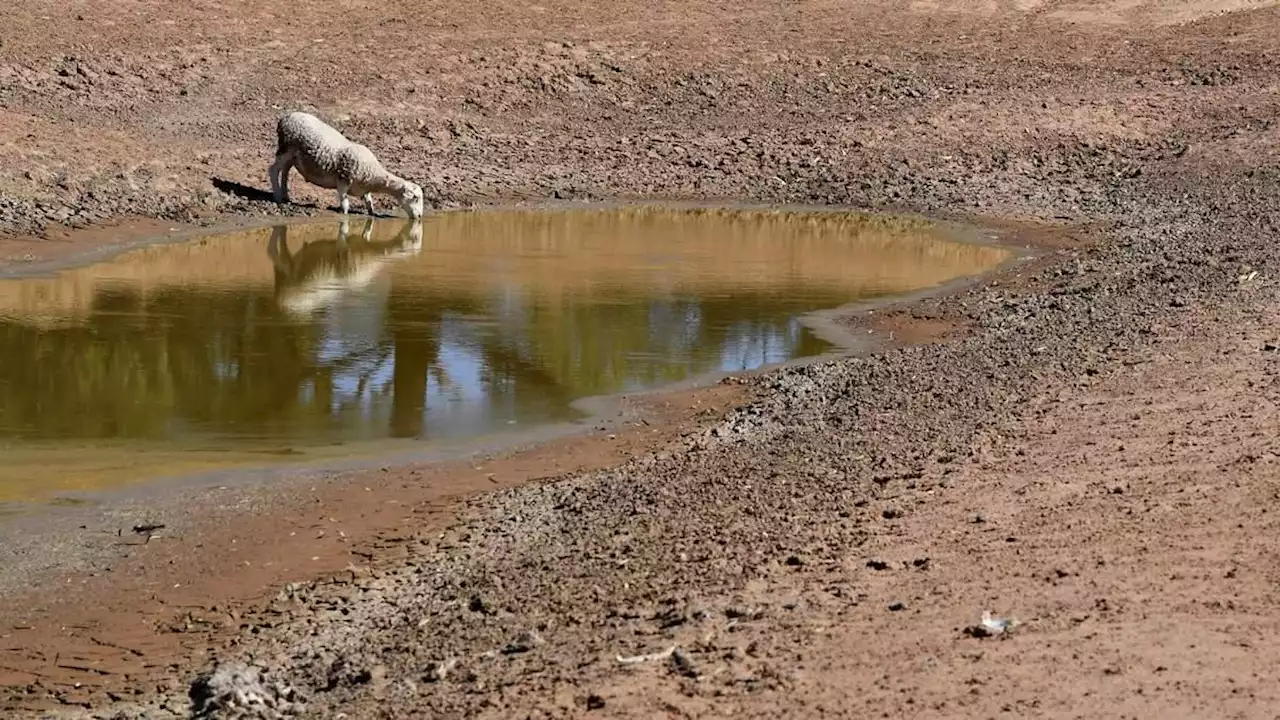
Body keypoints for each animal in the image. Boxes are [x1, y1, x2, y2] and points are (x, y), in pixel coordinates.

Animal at [267, 110, 427, 219]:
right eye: (415, 198)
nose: (420, 217)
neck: (374, 174)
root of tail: (287, 116)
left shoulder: (364, 189)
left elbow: (370, 205)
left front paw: (373, 215)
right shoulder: (343, 180)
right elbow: (345, 206)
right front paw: (344, 217)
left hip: (292, 154)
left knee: (285, 170)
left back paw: (286, 195)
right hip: (286, 147)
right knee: (273, 170)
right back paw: (278, 196)